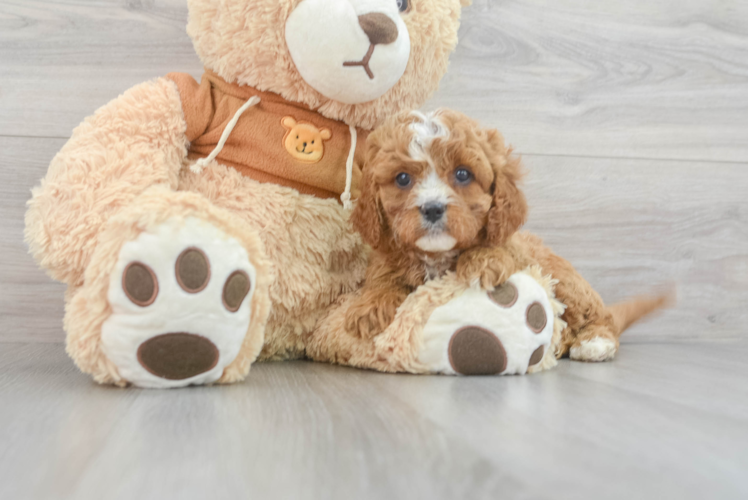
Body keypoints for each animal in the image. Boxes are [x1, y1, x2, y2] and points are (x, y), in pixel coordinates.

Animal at [344, 108, 668, 360]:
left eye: (463, 174)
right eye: (402, 178)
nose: (433, 208)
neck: (438, 256)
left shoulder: (519, 251)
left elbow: (501, 249)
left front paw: (482, 261)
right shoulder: (387, 255)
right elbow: (383, 277)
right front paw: (369, 306)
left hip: (566, 282)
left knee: (598, 317)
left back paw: (593, 342)